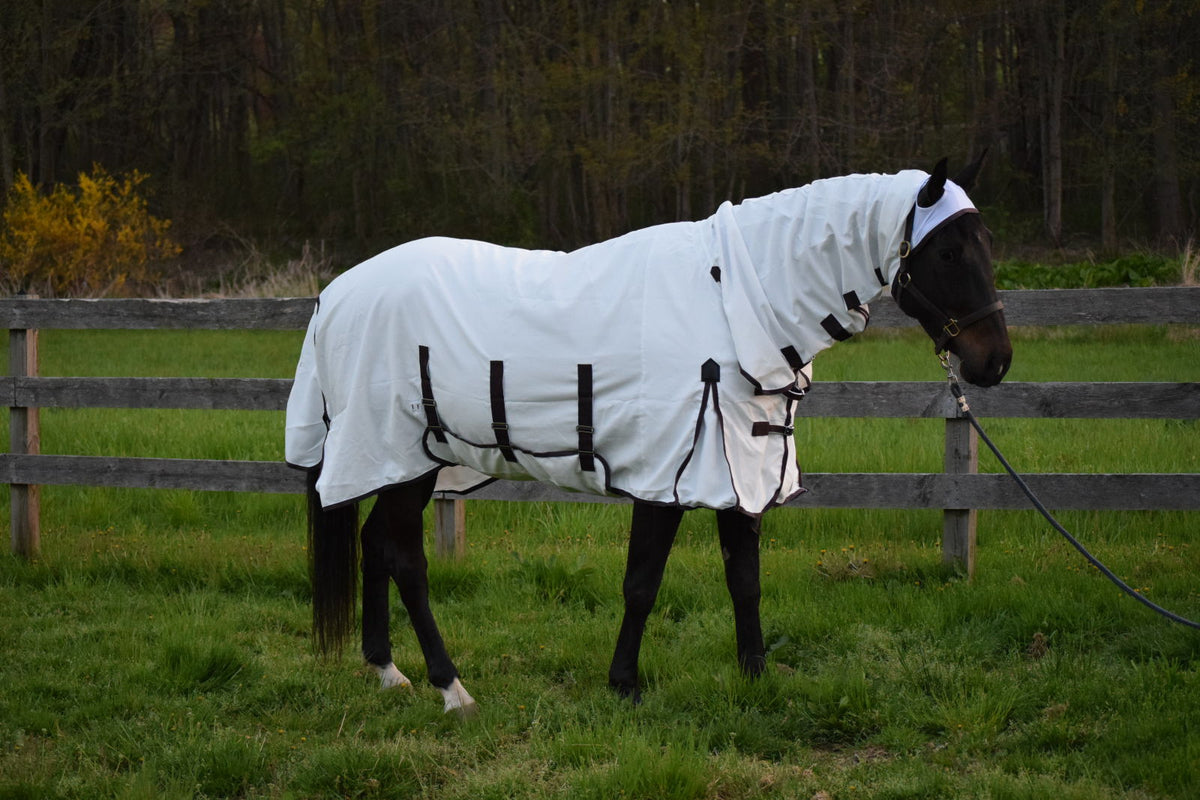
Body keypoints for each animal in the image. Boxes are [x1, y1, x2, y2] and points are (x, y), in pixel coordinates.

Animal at [285, 155, 1012, 715]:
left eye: (985, 245)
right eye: (949, 251)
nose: (995, 363)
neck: (733, 301)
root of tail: (335, 294)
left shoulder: (741, 470)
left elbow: (744, 580)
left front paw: (755, 679)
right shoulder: (668, 474)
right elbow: (642, 583)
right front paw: (625, 686)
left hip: (414, 460)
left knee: (377, 544)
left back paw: (388, 672)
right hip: (395, 452)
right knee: (405, 558)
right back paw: (452, 688)